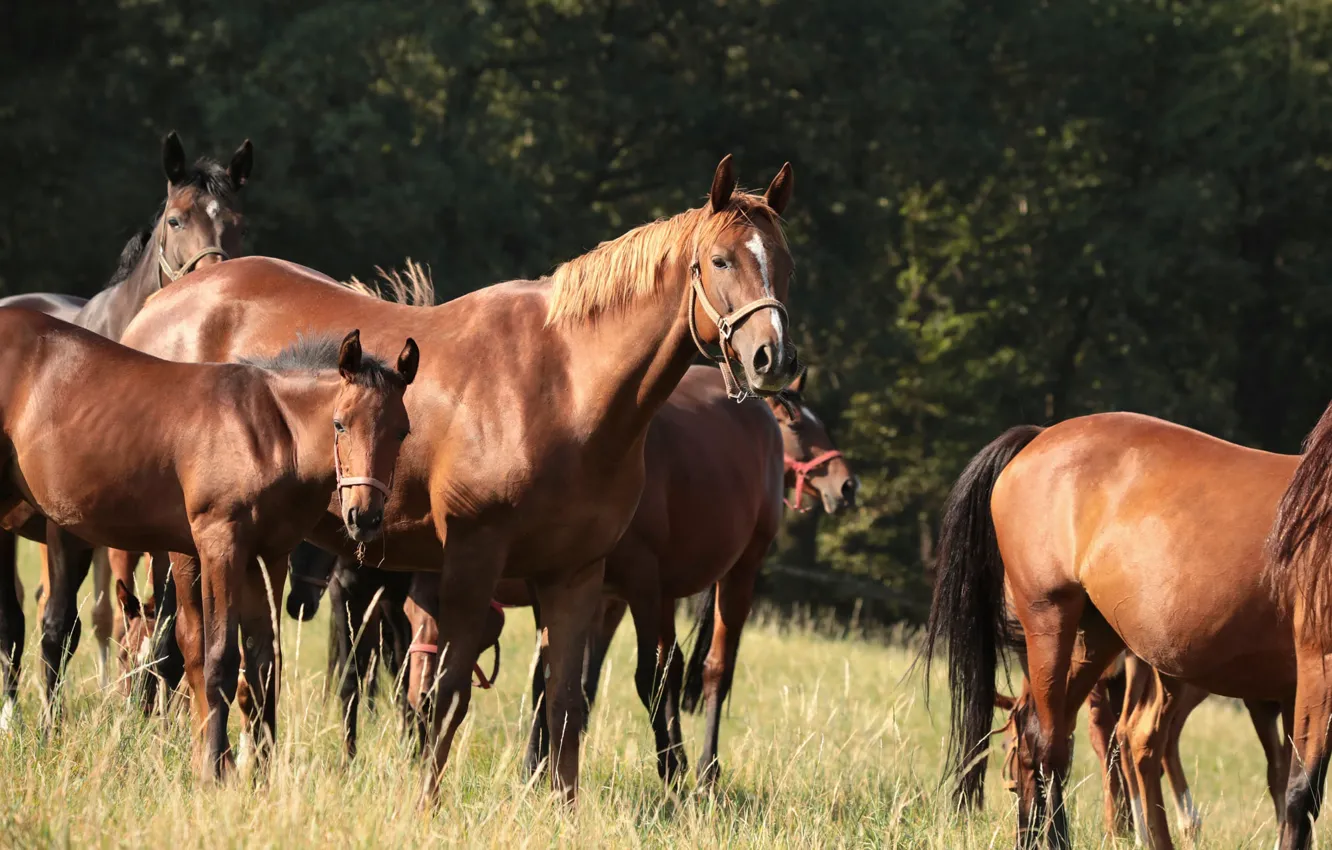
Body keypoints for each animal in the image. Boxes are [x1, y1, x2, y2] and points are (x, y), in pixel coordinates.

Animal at [0, 131, 251, 725]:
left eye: (240, 222)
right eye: (176, 219)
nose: (212, 284)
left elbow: (162, 630)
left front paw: (155, 719)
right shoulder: (68, 529)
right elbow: (63, 625)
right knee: (19, 619)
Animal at [0, 311, 416, 771]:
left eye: (402, 432)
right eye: (340, 423)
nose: (365, 516)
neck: (268, 433)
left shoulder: (268, 557)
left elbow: (262, 664)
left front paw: (260, 772)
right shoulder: (221, 546)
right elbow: (218, 657)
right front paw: (216, 768)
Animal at [119, 155, 801, 802]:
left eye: (785, 262)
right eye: (720, 260)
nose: (774, 358)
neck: (564, 385)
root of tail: (158, 307)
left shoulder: (577, 575)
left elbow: (564, 702)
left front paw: (560, 808)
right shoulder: (475, 558)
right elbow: (445, 694)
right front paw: (425, 802)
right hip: (197, 547)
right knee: (187, 647)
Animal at [923, 412, 1308, 849]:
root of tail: (1039, 436)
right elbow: (1282, 772)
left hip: (1105, 648)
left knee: (1080, 734)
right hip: (1065, 630)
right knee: (1096, 738)